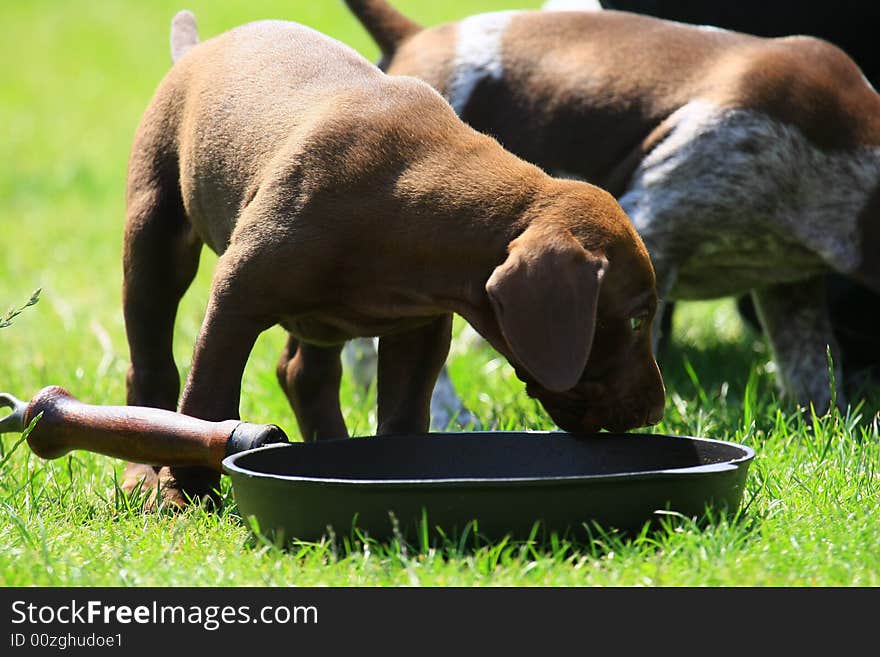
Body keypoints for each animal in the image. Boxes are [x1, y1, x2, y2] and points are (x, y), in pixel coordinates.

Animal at [120, 10, 664, 502]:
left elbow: (404, 418)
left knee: (304, 373)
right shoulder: (237, 297)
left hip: (319, 318)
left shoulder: (419, 329)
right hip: (154, 237)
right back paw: (141, 476)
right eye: (637, 320)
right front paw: (182, 492)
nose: (657, 411)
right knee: (151, 370)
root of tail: (195, 50)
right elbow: (207, 398)